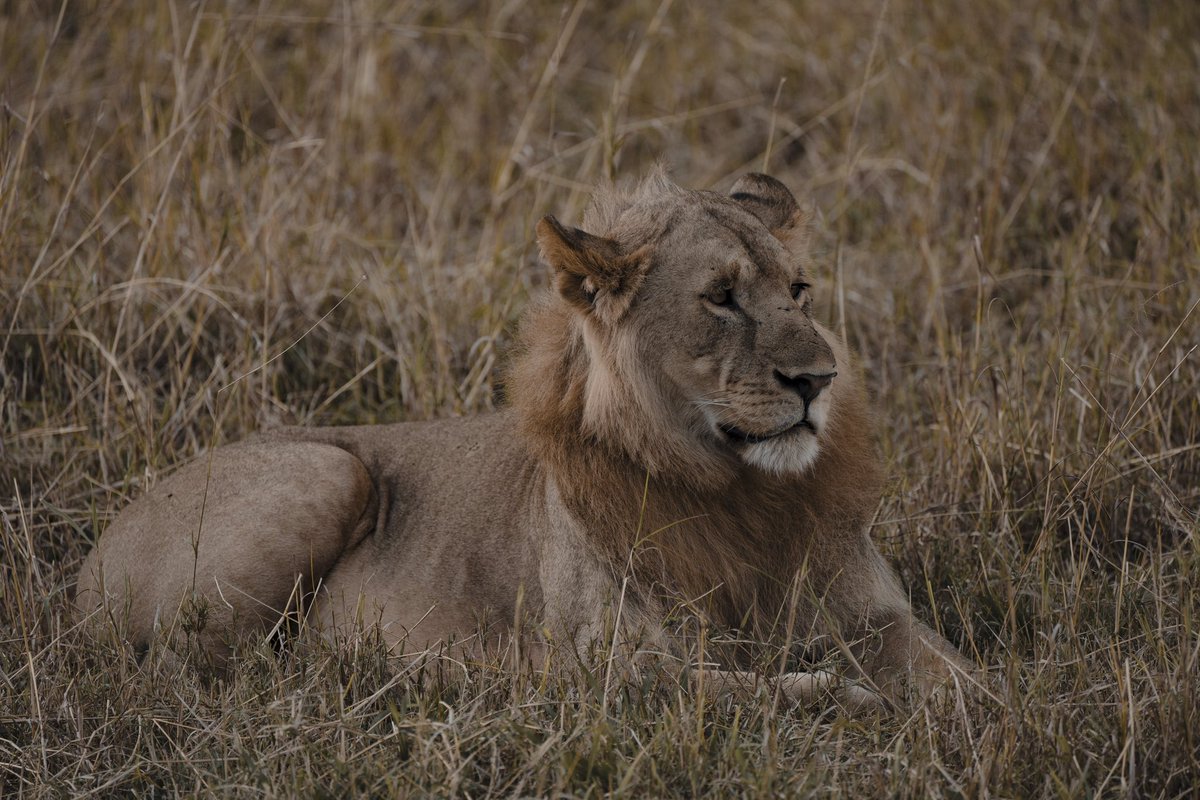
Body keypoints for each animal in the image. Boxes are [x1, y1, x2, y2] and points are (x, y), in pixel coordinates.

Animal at [75, 171, 971, 709]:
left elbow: (958, 670)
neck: (742, 492)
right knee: (202, 673)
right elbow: (757, 690)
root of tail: (89, 562)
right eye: (721, 296)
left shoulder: (876, 611)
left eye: (800, 290)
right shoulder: (614, 666)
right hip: (328, 470)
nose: (819, 379)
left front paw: (981, 713)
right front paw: (858, 702)